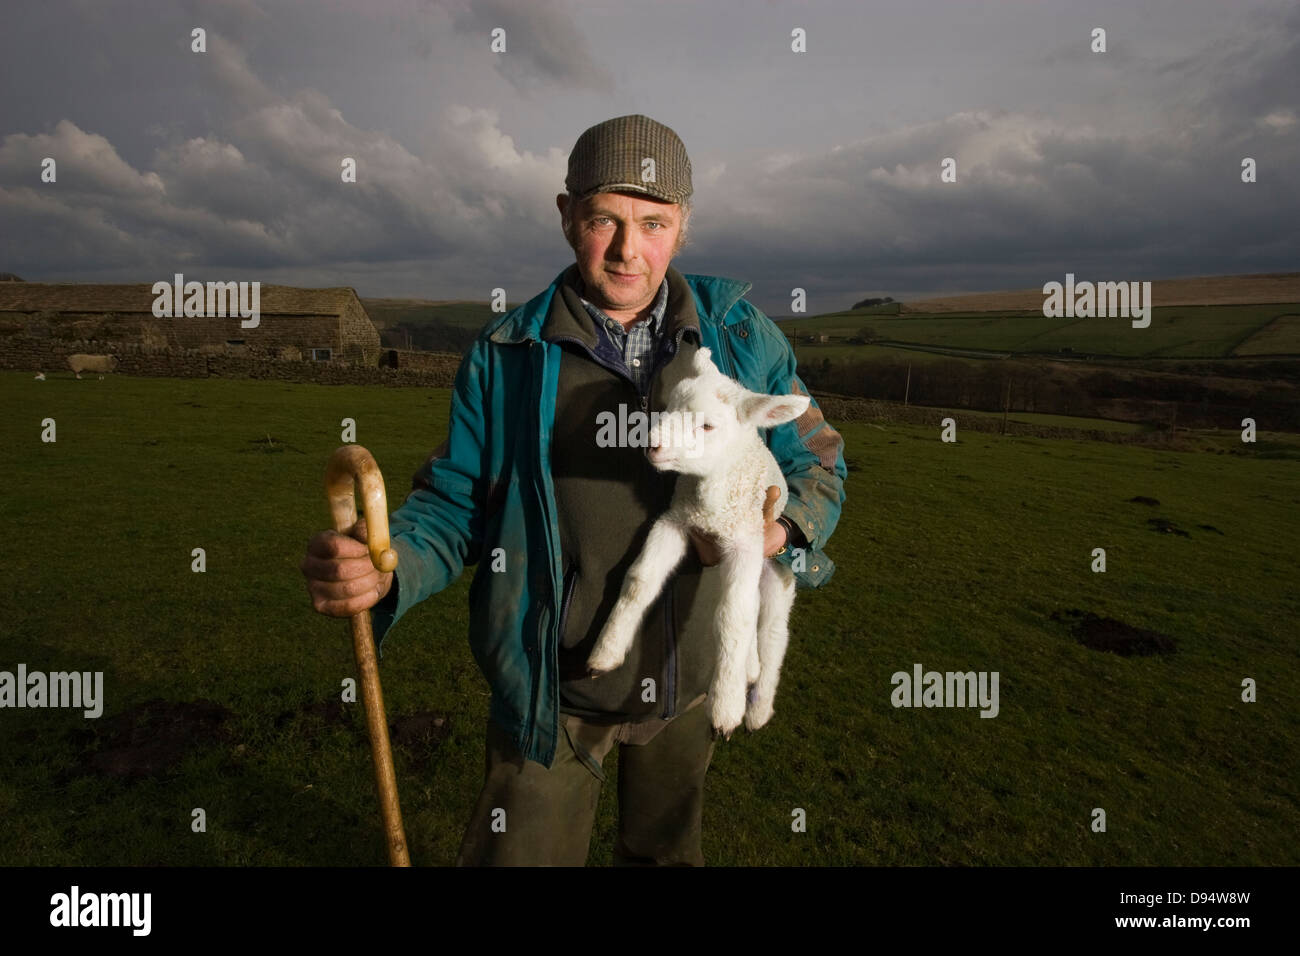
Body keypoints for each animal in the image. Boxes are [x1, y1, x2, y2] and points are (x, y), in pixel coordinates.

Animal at [587, 345, 806, 738]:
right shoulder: (676, 521)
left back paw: (757, 708)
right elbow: (640, 580)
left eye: (707, 426)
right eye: (669, 407)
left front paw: (725, 708)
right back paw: (749, 668)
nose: (651, 445)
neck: (709, 497)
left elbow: (734, 617)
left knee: (771, 631)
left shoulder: (746, 539)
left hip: (775, 569)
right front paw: (606, 652)